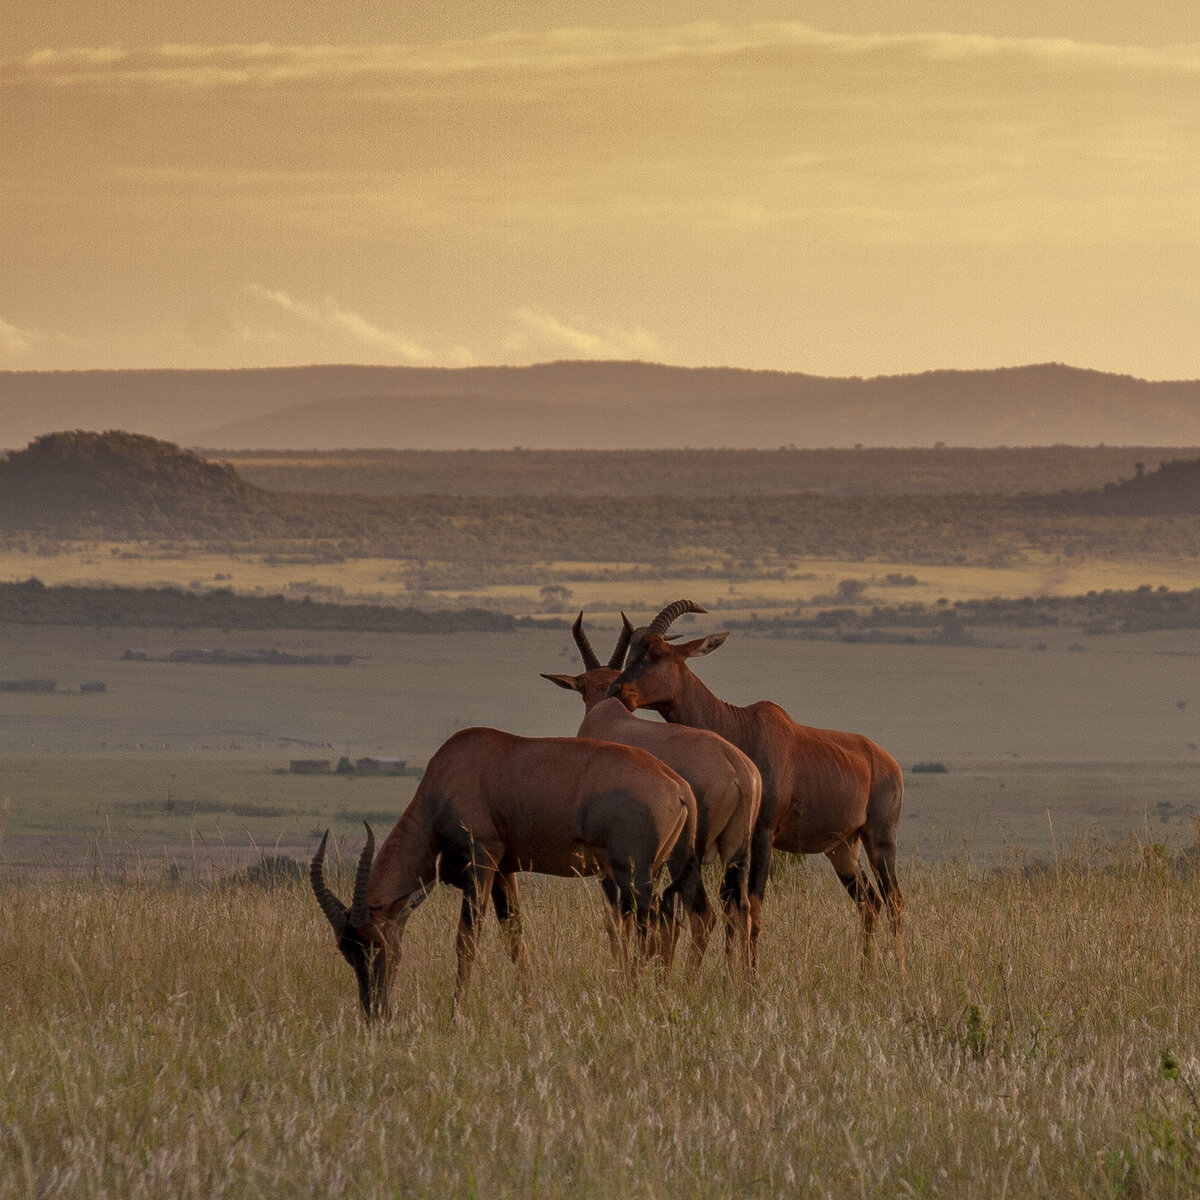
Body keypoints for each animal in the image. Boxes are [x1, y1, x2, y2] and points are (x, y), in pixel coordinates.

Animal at [309, 720, 696, 1022]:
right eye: (347, 952)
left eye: (378, 944)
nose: (375, 1014)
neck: (452, 775)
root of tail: (678, 787)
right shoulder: (503, 872)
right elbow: (515, 936)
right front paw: (530, 1006)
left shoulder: (480, 864)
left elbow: (466, 940)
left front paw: (456, 1016)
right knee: (665, 923)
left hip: (634, 875)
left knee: (660, 925)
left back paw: (643, 996)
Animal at [542, 609, 758, 974]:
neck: (608, 715)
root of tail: (736, 769)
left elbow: (618, 919)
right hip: (736, 853)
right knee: (739, 910)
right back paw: (740, 979)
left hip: (687, 857)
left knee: (701, 915)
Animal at [604, 600, 902, 974]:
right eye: (632, 651)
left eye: (657, 652)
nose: (615, 691)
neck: (739, 727)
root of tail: (887, 761)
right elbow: (731, 906)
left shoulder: (762, 834)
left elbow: (753, 907)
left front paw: (752, 976)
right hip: (843, 847)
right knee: (869, 902)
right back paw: (865, 972)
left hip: (880, 838)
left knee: (895, 900)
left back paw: (900, 971)